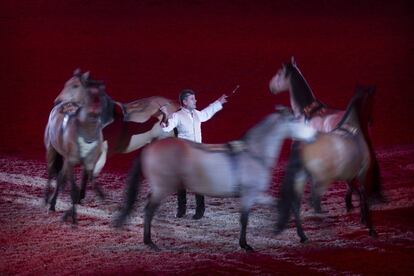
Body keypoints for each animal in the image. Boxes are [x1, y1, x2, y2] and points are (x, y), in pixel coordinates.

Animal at [113, 108, 316, 252]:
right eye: (297, 121)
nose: (313, 137)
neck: (254, 154)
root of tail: (150, 147)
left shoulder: (255, 194)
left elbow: (284, 205)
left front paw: (301, 235)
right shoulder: (249, 194)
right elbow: (244, 219)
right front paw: (245, 245)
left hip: (162, 187)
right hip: (163, 187)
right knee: (149, 210)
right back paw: (151, 243)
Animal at [274, 85, 378, 242]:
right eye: (371, 101)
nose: (371, 120)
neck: (352, 129)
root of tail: (302, 146)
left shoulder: (351, 174)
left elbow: (356, 192)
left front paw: (361, 217)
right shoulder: (362, 174)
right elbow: (364, 197)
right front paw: (370, 227)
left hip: (301, 178)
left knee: (297, 203)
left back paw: (303, 235)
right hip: (322, 180)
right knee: (314, 201)